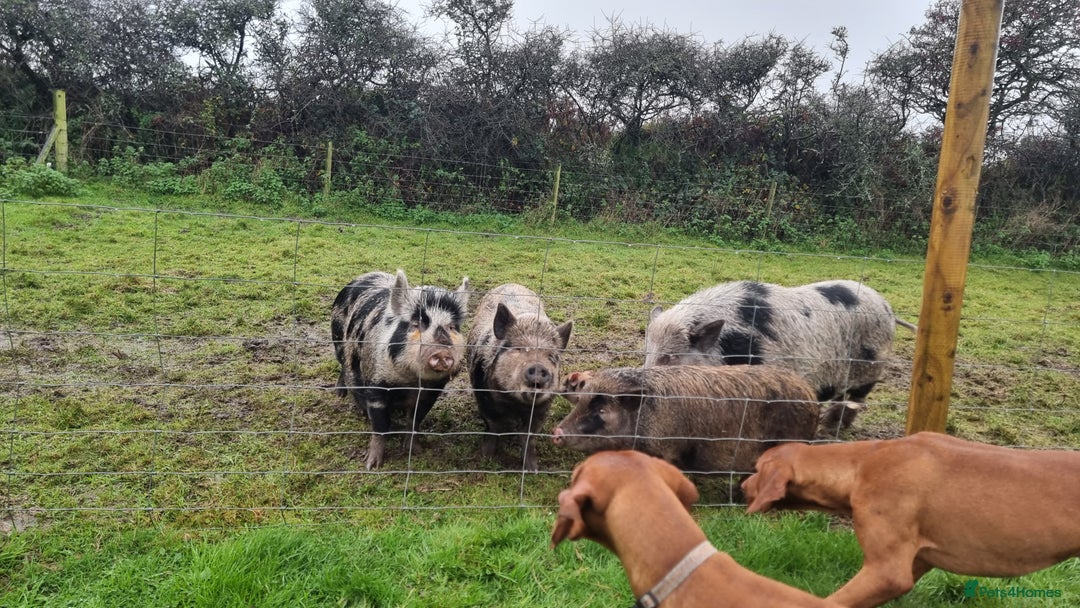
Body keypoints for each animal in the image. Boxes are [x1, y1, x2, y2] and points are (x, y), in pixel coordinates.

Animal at [331, 269, 469, 469]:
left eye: (451, 327)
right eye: (416, 325)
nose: (442, 352)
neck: (410, 382)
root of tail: (365, 275)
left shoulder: (433, 391)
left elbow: (415, 420)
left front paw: (415, 451)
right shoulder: (376, 385)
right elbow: (380, 425)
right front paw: (372, 465)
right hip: (337, 341)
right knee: (343, 366)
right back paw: (341, 394)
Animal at [467, 283, 573, 471]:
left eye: (552, 357)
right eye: (518, 348)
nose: (538, 367)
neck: (515, 404)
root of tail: (512, 283)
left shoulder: (543, 407)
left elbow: (528, 436)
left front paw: (532, 469)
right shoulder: (483, 394)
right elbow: (493, 426)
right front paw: (485, 458)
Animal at [644, 280, 915, 431]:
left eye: (670, 357)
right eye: (647, 352)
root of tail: (886, 306)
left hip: (871, 364)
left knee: (856, 398)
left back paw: (829, 428)